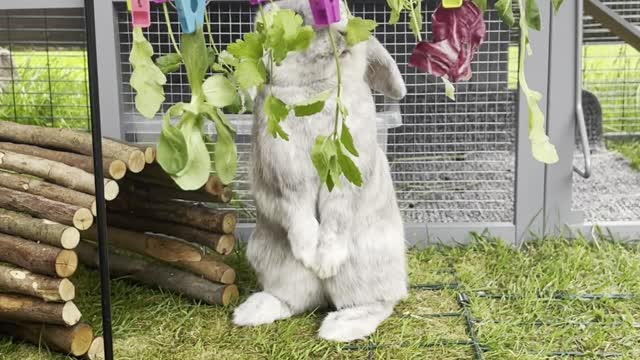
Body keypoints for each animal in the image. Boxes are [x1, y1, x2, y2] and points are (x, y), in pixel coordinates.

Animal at [232, 0, 408, 344]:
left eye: (345, 11)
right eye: (297, 19)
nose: (341, 31)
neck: (315, 92)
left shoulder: (344, 181)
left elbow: (337, 215)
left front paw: (325, 262)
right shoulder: (285, 177)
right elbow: (297, 211)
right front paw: (309, 255)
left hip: (366, 268)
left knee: (379, 303)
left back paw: (338, 326)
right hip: (274, 264)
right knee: (293, 300)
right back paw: (250, 312)